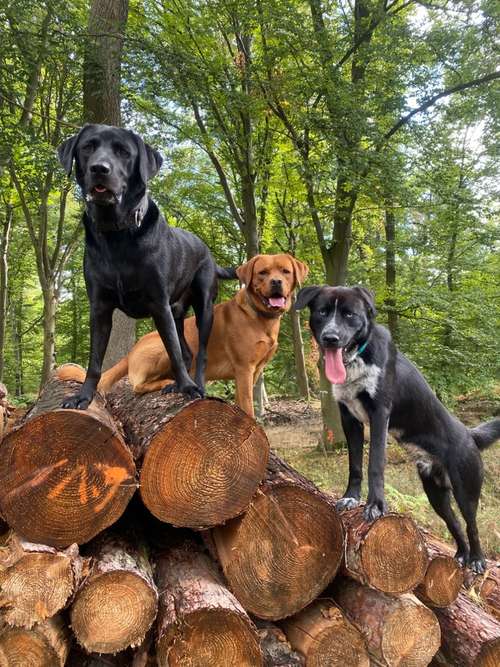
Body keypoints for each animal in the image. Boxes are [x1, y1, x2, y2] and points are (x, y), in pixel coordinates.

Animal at [296, 284, 500, 572]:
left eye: (349, 314)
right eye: (323, 312)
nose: (330, 338)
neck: (357, 358)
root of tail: (470, 435)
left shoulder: (380, 414)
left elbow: (375, 464)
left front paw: (375, 506)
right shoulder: (349, 418)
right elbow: (355, 464)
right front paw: (351, 497)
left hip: (466, 489)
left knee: (471, 524)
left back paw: (478, 560)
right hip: (435, 493)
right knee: (455, 524)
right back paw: (462, 554)